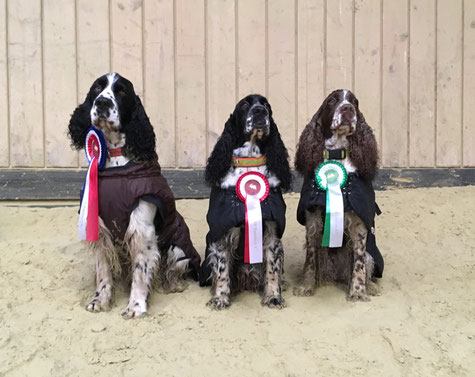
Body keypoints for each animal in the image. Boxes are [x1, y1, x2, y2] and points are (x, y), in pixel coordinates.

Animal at [67, 72, 201, 316]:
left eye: (121, 91)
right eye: (97, 87)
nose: (102, 102)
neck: (114, 159)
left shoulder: (141, 228)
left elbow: (141, 271)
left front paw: (136, 306)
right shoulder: (99, 229)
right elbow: (103, 272)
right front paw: (99, 300)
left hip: (177, 247)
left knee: (173, 268)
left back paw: (172, 284)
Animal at [198, 94, 294, 308]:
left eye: (266, 105)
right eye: (244, 105)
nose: (260, 111)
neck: (249, 162)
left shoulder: (272, 232)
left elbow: (272, 270)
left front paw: (273, 296)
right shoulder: (221, 233)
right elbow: (222, 270)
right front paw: (220, 298)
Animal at [292, 88, 384, 300]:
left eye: (354, 102)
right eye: (332, 101)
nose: (347, 109)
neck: (337, 155)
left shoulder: (359, 223)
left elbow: (359, 263)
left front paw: (357, 292)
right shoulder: (313, 219)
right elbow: (310, 260)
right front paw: (306, 287)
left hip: (371, 254)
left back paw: (370, 287)